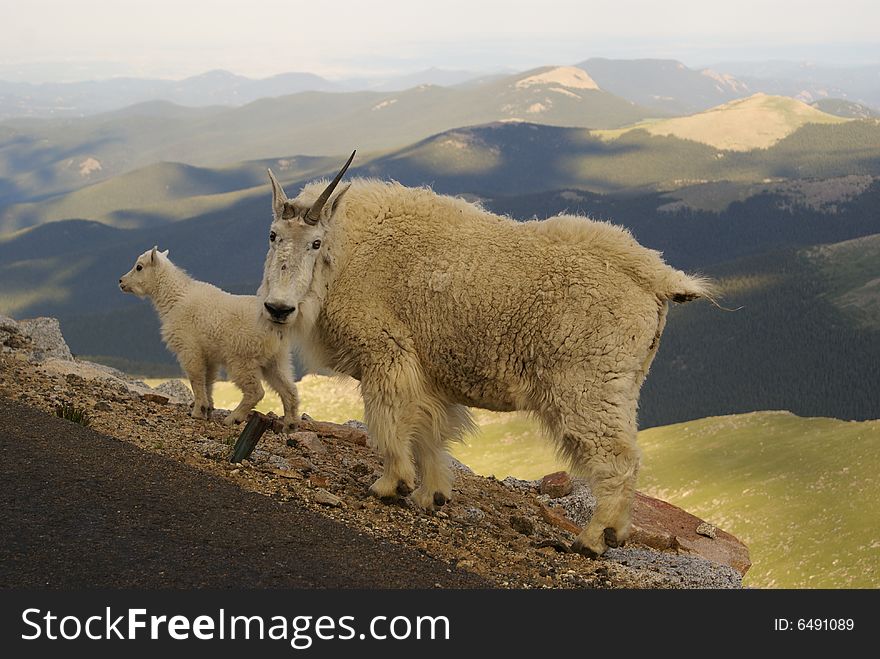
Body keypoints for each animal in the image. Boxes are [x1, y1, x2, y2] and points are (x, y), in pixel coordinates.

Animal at [120, 248, 300, 428]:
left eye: (139, 267)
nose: (121, 281)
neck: (174, 298)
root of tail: (276, 329)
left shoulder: (189, 345)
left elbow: (196, 376)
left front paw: (198, 411)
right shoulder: (209, 352)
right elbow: (209, 378)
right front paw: (208, 409)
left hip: (242, 355)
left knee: (255, 390)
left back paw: (234, 417)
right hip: (278, 356)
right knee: (287, 386)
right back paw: (290, 424)